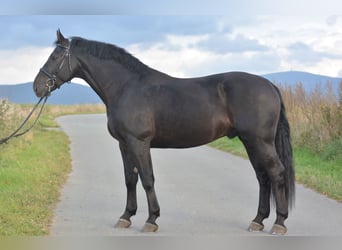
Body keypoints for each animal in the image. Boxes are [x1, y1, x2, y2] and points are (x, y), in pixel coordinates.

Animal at [33, 30, 294, 234]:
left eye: (55, 56)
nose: (37, 87)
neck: (126, 87)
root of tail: (269, 85)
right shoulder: (124, 144)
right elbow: (130, 179)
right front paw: (126, 216)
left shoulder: (139, 142)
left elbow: (147, 178)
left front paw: (151, 219)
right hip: (250, 141)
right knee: (263, 177)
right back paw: (258, 221)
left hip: (260, 141)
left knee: (277, 173)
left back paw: (279, 223)